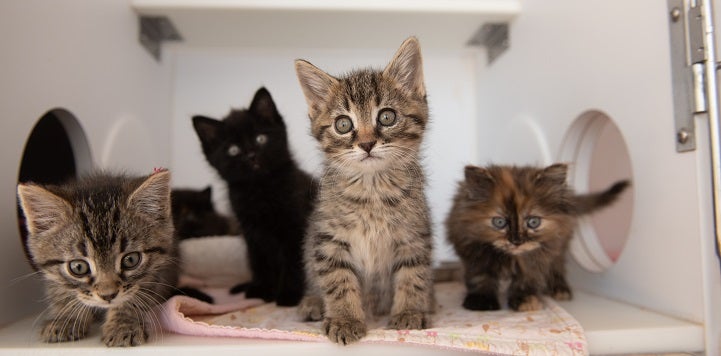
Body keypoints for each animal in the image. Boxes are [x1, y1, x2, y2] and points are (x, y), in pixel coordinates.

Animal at [17, 171, 177, 346]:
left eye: (131, 260)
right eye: (78, 267)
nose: (108, 296)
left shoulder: (157, 271)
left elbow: (137, 294)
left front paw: (123, 325)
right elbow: (62, 291)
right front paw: (65, 319)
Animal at [191, 87, 316, 306]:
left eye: (260, 139)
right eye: (233, 150)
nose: (251, 155)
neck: (259, 189)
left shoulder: (294, 228)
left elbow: (293, 262)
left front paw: (288, 295)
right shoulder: (252, 234)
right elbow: (261, 263)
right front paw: (262, 290)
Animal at [296, 36, 436, 344]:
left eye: (386, 117)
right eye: (343, 124)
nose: (367, 143)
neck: (372, 190)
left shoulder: (413, 235)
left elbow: (413, 274)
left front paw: (409, 311)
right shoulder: (329, 239)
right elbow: (338, 280)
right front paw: (345, 319)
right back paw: (312, 302)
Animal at [448, 164, 628, 312]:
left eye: (533, 222)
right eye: (499, 222)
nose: (516, 241)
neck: (512, 258)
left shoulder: (538, 258)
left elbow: (527, 277)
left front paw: (525, 299)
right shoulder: (472, 251)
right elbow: (479, 276)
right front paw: (481, 300)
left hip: (560, 245)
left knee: (558, 265)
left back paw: (559, 288)